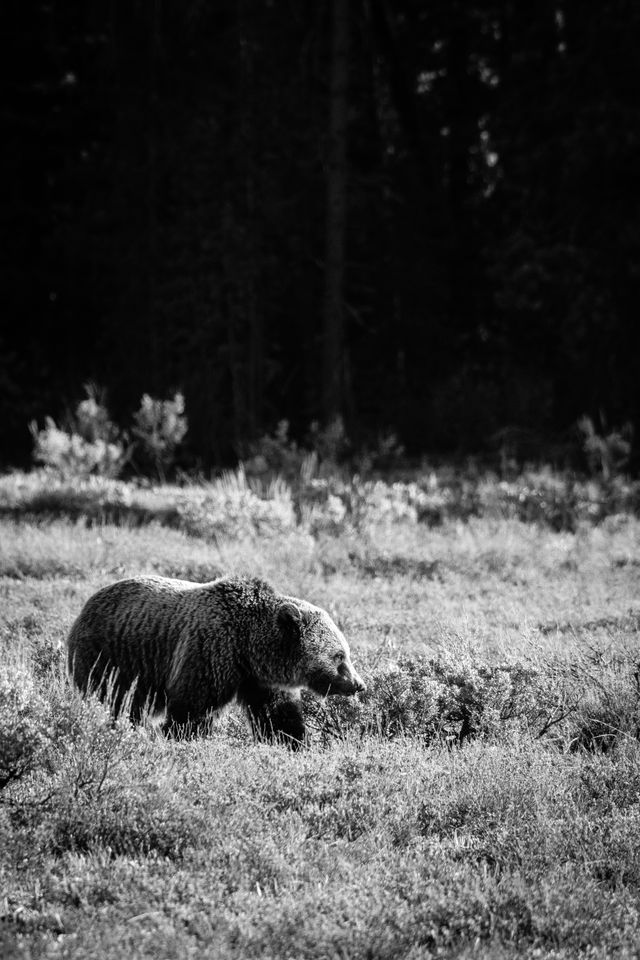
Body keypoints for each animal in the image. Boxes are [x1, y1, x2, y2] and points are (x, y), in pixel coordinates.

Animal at [67, 572, 364, 748]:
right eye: (339, 655)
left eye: (346, 652)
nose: (359, 684)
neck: (247, 647)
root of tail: (86, 605)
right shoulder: (209, 652)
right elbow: (193, 709)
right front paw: (180, 738)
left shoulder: (260, 680)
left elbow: (277, 716)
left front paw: (294, 743)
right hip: (110, 656)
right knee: (113, 700)